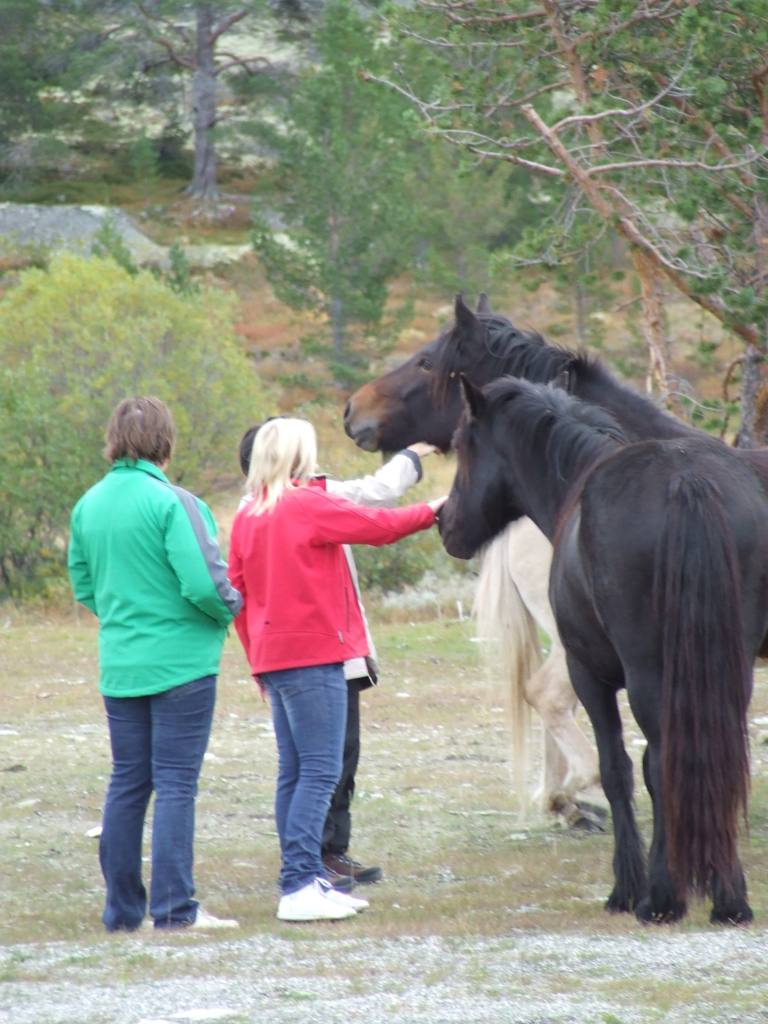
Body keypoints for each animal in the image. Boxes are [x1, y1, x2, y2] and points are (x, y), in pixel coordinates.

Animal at [442, 376, 768, 929]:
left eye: (463, 444)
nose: (444, 523)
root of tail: (687, 481)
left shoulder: (589, 677)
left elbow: (617, 771)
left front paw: (629, 888)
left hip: (648, 675)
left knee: (662, 765)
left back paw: (662, 896)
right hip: (727, 669)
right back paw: (729, 896)